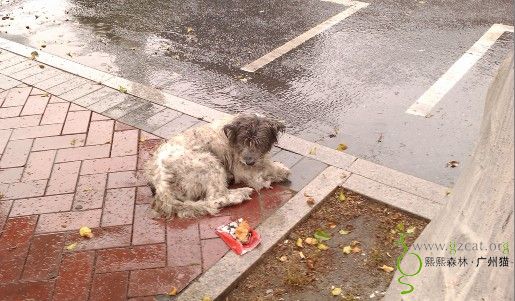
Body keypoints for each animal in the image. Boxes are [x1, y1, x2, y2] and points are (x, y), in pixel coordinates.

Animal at [146, 113, 290, 217]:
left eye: (259, 143)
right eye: (243, 141)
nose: (249, 161)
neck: (231, 135)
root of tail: (161, 184)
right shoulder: (243, 168)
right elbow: (265, 170)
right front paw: (281, 171)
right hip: (209, 162)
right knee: (215, 197)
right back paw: (240, 193)